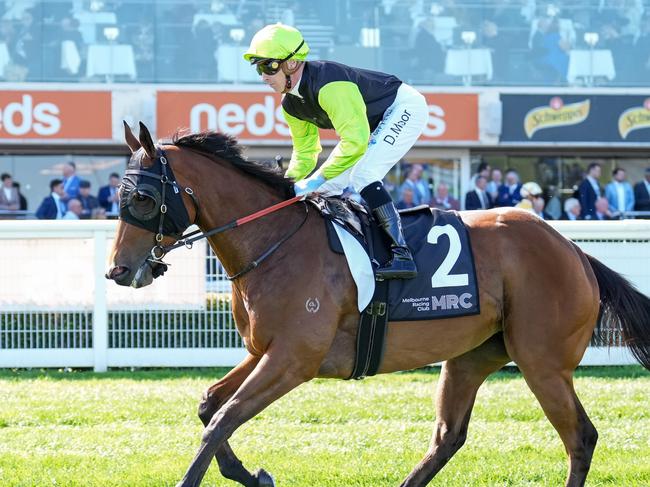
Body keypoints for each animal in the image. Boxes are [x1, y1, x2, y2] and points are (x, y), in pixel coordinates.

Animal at [106, 122, 648, 487]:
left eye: (141, 198)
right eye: (118, 194)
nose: (118, 271)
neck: (274, 240)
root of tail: (573, 249)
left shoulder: (294, 358)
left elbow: (222, 420)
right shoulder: (265, 351)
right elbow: (209, 405)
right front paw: (253, 474)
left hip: (542, 361)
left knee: (580, 437)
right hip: (472, 357)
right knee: (448, 436)